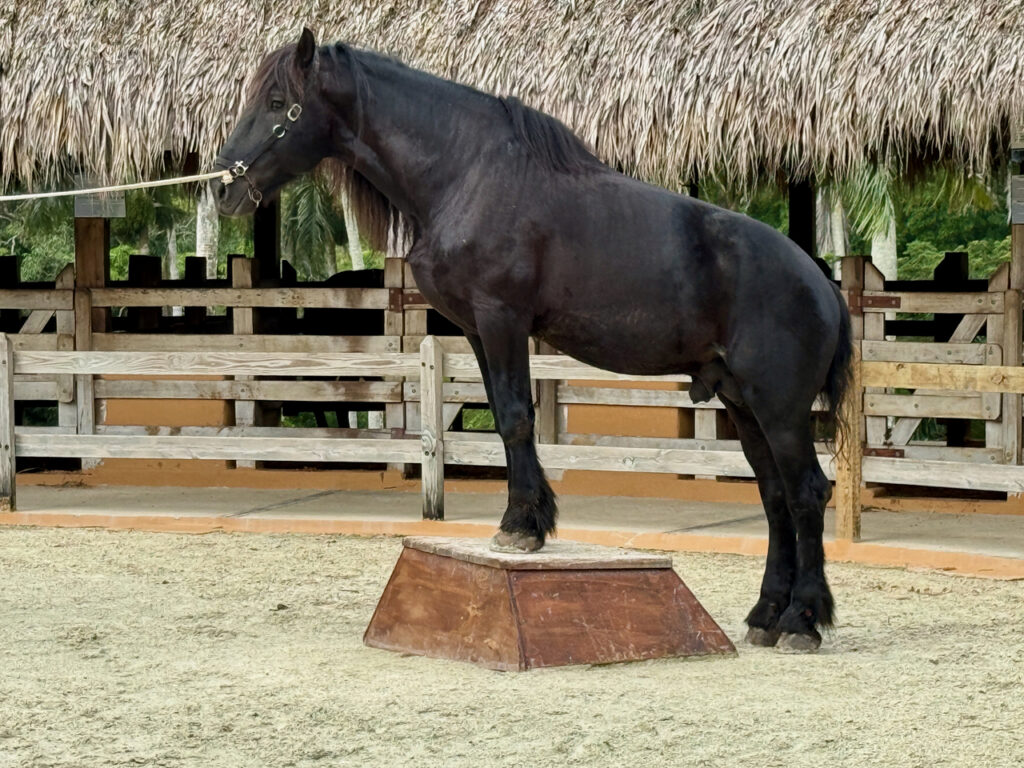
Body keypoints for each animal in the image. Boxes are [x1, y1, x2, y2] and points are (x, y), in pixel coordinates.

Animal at [213, 28, 853, 651]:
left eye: (279, 103)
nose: (222, 186)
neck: (467, 174)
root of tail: (821, 283)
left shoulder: (502, 320)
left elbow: (519, 417)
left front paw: (521, 526)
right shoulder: (476, 330)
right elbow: (502, 416)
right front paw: (526, 520)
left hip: (780, 409)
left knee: (806, 493)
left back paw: (801, 621)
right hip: (743, 405)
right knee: (774, 496)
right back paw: (765, 616)